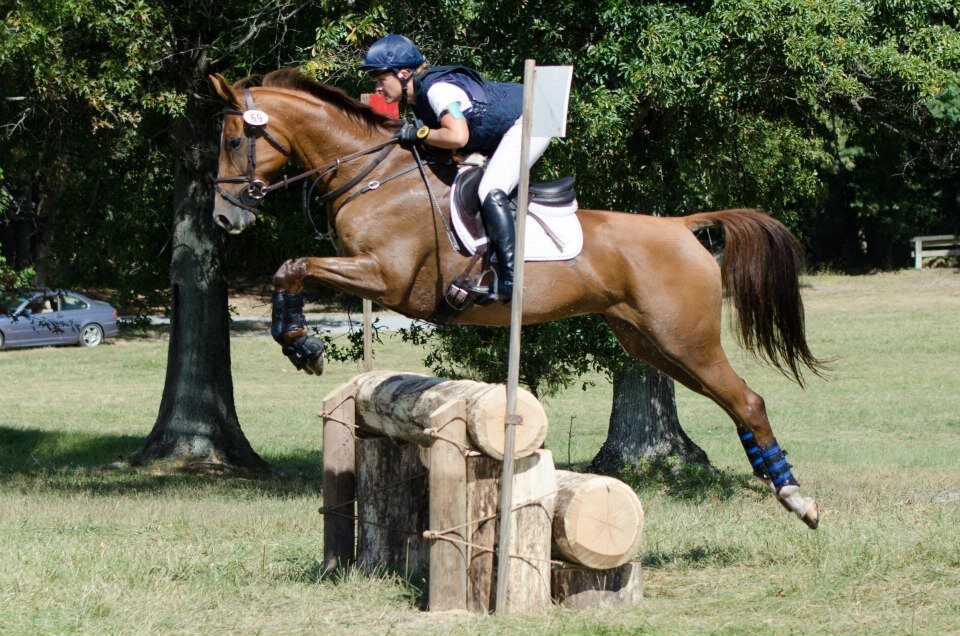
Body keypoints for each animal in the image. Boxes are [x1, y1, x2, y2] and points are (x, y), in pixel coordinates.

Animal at [209, 69, 824, 529]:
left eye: (235, 140)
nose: (224, 219)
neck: (373, 175)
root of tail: (681, 226)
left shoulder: (386, 278)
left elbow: (292, 266)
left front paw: (303, 344)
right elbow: (289, 269)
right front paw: (297, 341)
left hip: (685, 338)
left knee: (748, 400)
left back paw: (798, 499)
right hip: (651, 342)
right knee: (733, 400)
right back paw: (780, 484)